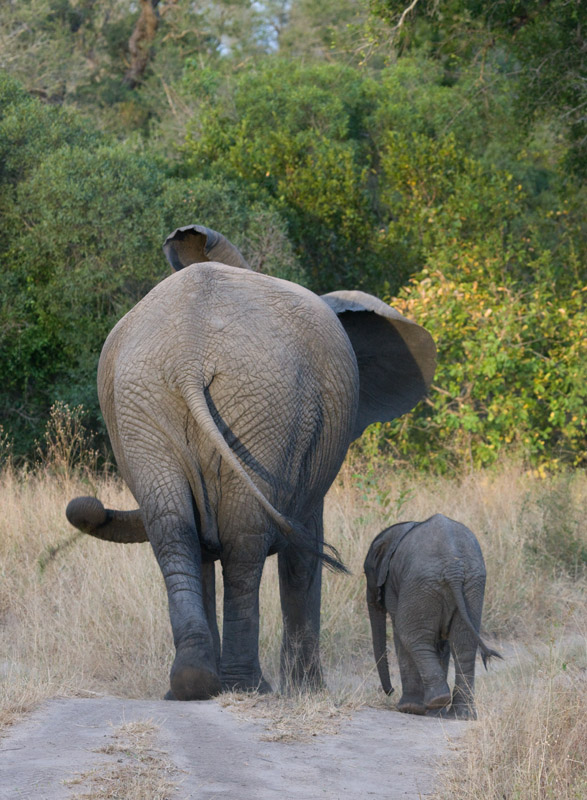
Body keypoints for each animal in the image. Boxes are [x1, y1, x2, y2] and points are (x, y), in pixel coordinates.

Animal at [65, 225, 436, 700]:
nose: (86, 503)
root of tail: (189, 355)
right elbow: (302, 554)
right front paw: (308, 691)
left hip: (156, 400)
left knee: (176, 530)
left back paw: (194, 683)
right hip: (252, 404)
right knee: (242, 542)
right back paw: (246, 686)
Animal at [362, 516, 500, 720]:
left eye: (365, 573)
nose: (390, 691)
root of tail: (453, 568)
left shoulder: (395, 583)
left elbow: (400, 633)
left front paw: (412, 708)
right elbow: (443, 642)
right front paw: (436, 713)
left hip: (423, 585)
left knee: (411, 636)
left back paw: (429, 703)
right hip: (472, 586)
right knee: (464, 643)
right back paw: (461, 714)